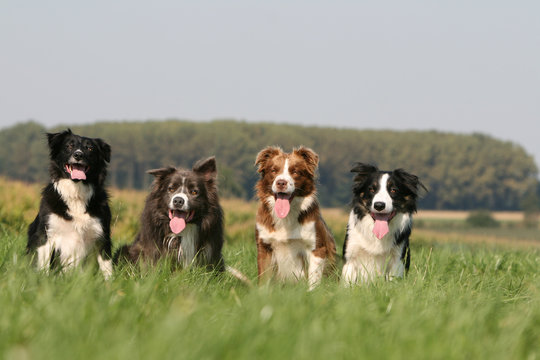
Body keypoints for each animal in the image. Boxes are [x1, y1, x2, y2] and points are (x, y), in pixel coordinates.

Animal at [27, 129, 113, 278]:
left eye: (90, 148)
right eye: (69, 146)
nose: (78, 155)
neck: (76, 194)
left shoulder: (102, 236)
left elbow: (107, 268)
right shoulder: (46, 235)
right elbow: (44, 266)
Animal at [253, 145, 334, 288]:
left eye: (295, 172)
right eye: (273, 170)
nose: (281, 182)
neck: (286, 218)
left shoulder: (317, 247)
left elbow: (313, 280)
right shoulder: (265, 246)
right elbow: (264, 279)